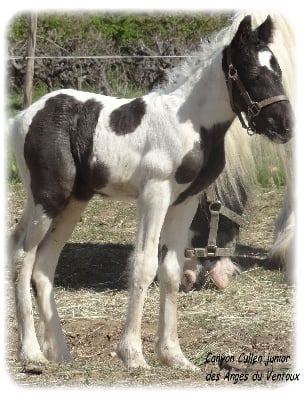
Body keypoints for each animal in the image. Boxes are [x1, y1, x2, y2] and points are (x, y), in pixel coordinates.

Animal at [8, 14, 290, 370]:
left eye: (277, 69)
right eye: (251, 73)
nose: (286, 126)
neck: (191, 123)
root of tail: (23, 117)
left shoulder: (186, 201)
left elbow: (170, 271)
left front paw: (174, 355)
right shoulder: (155, 193)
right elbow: (144, 265)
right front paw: (132, 354)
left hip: (74, 201)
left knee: (44, 263)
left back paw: (60, 352)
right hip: (47, 198)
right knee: (22, 255)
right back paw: (31, 351)